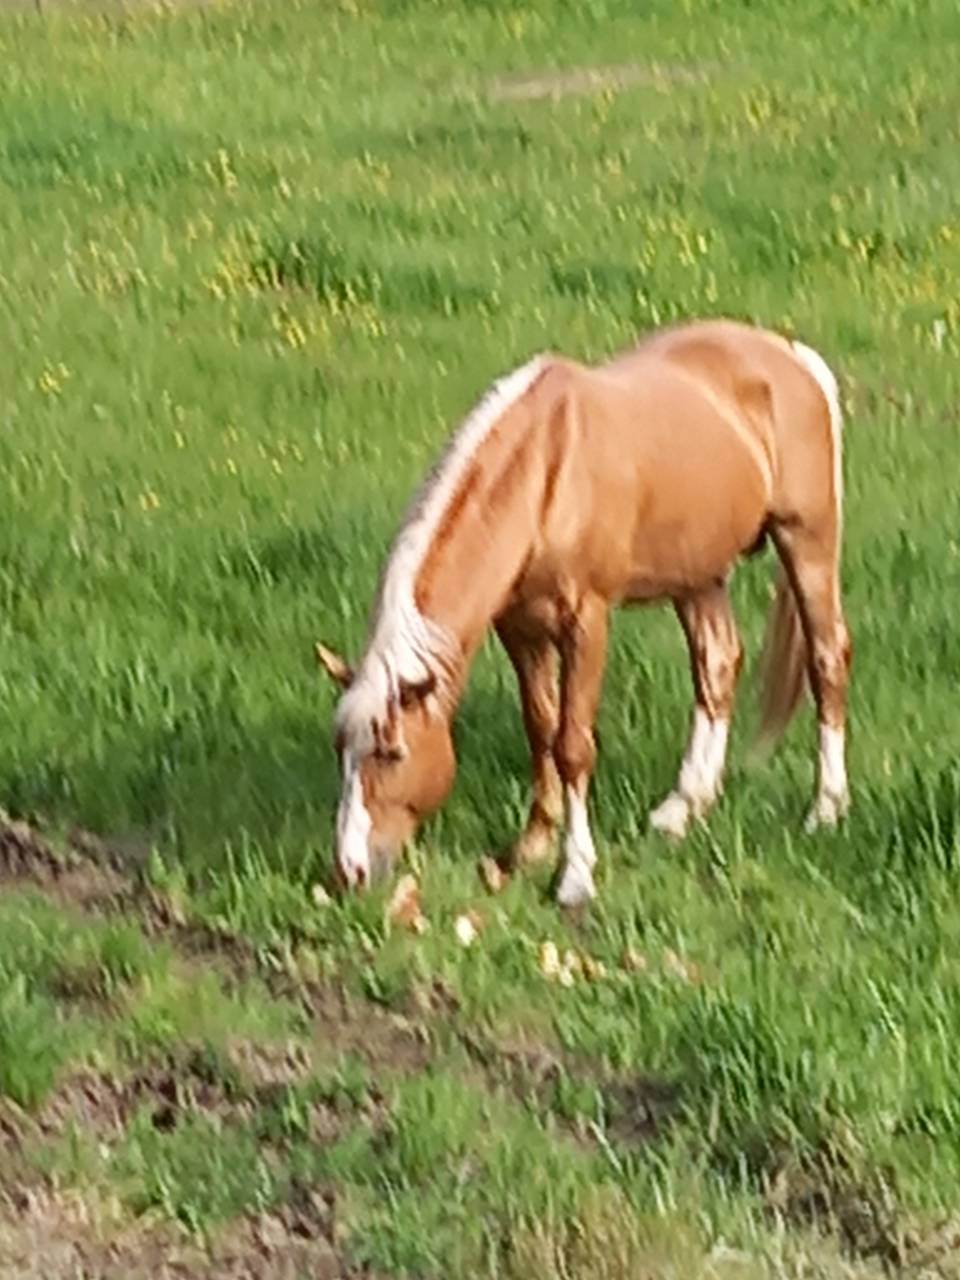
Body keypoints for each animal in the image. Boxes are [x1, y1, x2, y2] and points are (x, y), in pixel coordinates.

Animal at [316, 318, 850, 906]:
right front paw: (530, 848)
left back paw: (826, 809)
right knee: (717, 666)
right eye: (341, 749)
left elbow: (572, 745)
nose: (348, 872)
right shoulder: (520, 630)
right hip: (699, 572)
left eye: (392, 753)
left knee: (827, 659)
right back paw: (682, 809)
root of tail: (793, 356)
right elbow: (541, 729)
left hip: (807, 541)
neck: (546, 472)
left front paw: (575, 874)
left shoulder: (586, 623)